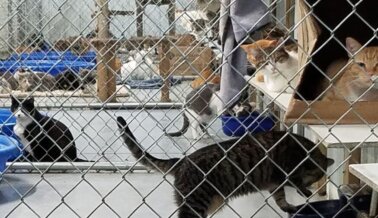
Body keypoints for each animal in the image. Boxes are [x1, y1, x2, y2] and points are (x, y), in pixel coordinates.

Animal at [117, 117, 334, 218]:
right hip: (195, 204)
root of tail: (183, 160)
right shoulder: (286, 171)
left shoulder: (276, 183)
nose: (314, 184)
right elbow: (294, 182)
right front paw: (304, 190)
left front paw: (288, 206)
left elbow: (280, 198)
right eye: (317, 177)